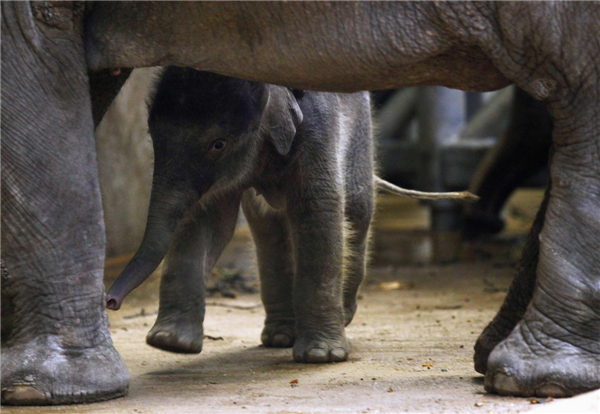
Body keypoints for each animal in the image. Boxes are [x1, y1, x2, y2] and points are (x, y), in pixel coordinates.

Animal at [106, 67, 474, 362]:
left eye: (218, 144)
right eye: (153, 137)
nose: (110, 301)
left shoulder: (317, 127)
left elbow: (318, 209)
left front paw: (321, 357)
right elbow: (207, 218)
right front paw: (169, 344)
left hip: (361, 131)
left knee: (355, 209)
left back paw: (341, 316)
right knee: (270, 230)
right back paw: (281, 337)